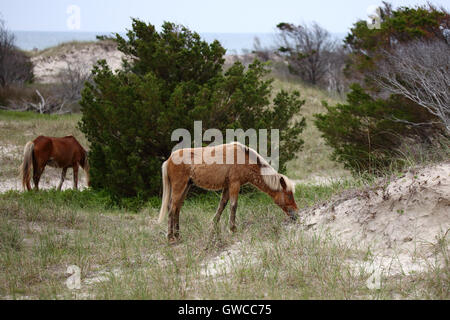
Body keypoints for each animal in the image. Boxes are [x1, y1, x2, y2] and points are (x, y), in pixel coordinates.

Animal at [158, 141, 298, 244]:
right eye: (289, 195)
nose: (296, 214)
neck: (244, 158)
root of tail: (168, 160)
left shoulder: (227, 187)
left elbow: (222, 206)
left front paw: (213, 228)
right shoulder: (234, 184)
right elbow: (233, 206)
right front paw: (233, 229)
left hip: (185, 187)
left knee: (177, 209)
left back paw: (178, 235)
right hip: (179, 187)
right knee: (172, 209)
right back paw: (171, 237)